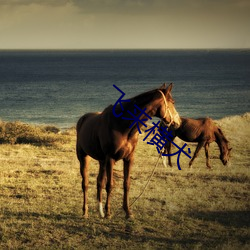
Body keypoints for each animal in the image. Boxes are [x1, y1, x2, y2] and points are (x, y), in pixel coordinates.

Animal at [75, 83, 180, 218]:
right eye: (173, 102)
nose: (178, 122)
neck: (122, 125)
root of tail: (82, 119)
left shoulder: (129, 158)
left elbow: (126, 184)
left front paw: (127, 211)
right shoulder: (110, 158)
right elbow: (110, 185)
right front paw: (108, 212)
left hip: (102, 161)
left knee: (99, 182)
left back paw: (100, 211)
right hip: (84, 157)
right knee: (85, 184)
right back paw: (85, 212)